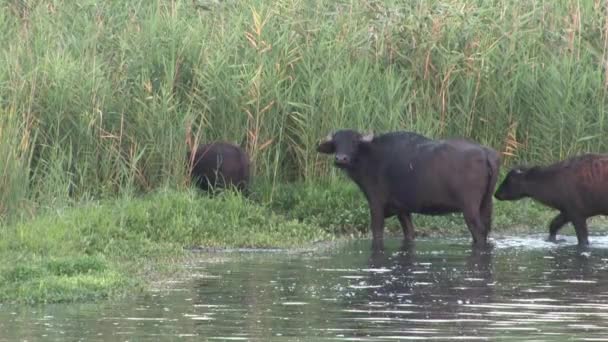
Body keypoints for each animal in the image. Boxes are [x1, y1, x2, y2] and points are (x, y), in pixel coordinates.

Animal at [316, 129, 502, 248]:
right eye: (336, 142)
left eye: (354, 142)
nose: (341, 159)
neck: (370, 158)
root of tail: (485, 152)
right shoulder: (402, 210)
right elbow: (409, 233)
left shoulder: (376, 204)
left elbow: (377, 232)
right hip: (487, 203)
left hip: (469, 208)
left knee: (479, 232)